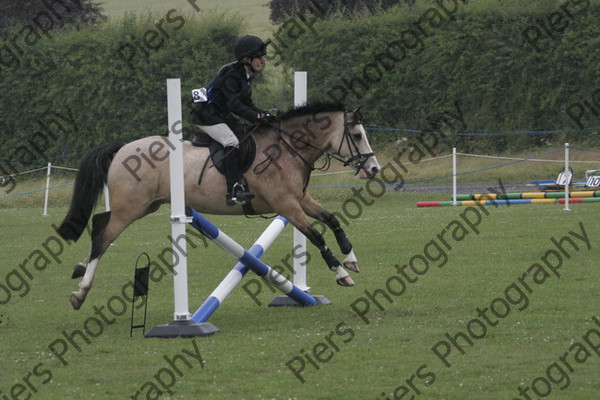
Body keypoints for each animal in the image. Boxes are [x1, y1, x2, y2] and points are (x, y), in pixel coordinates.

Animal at [58, 102, 382, 310]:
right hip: (131, 208)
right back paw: (80, 293)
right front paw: (341, 274)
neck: (287, 148)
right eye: (356, 136)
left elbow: (332, 220)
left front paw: (351, 258)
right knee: (102, 235)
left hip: (146, 205)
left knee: (100, 224)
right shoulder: (287, 205)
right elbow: (315, 234)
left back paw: (79, 269)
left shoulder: (300, 200)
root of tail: (123, 147)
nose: (374, 169)